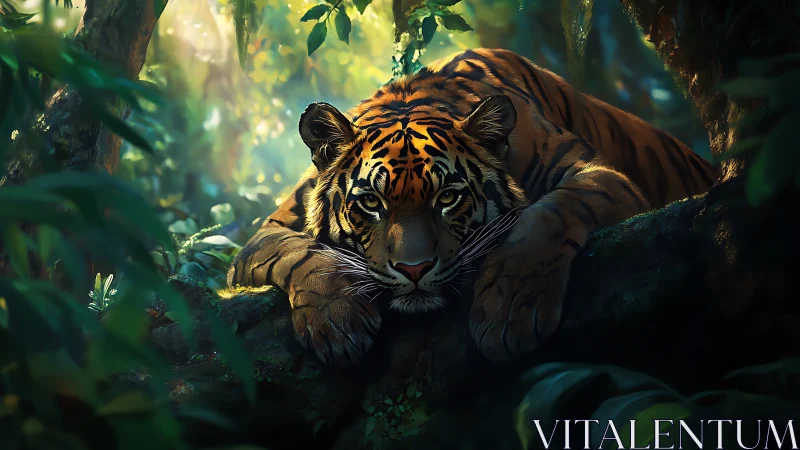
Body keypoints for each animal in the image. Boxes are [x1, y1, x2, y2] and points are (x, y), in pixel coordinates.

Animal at [228, 48, 718, 365]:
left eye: (447, 197)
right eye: (371, 202)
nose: (413, 269)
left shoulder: (597, 174)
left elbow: (549, 215)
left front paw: (508, 311)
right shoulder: (266, 232)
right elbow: (303, 255)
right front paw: (337, 320)